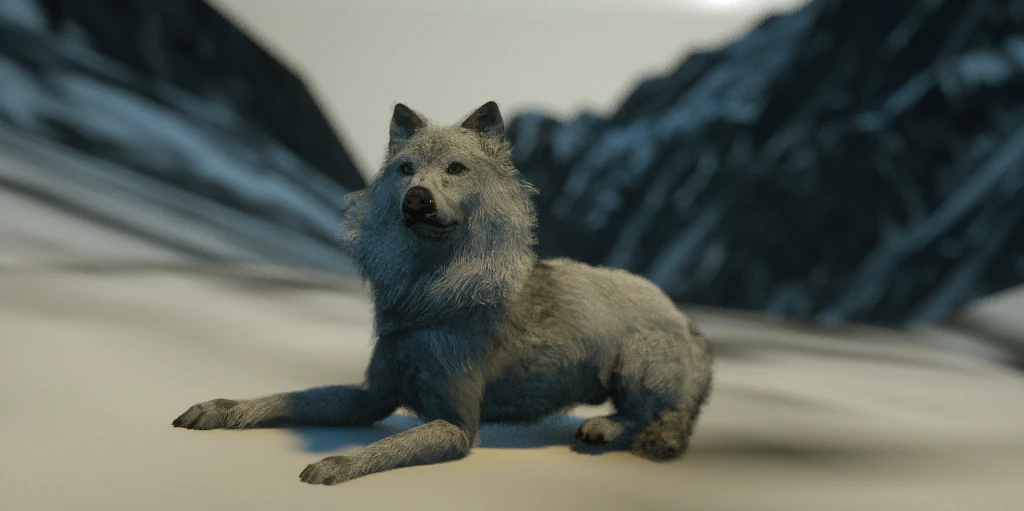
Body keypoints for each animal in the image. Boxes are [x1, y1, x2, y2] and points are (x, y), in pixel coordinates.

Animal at [172, 101, 713, 485]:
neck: (428, 298)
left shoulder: (458, 429)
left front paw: (339, 464)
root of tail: (689, 324)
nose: (417, 199)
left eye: (454, 169)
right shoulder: (372, 396)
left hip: (635, 359)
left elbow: (385, 449)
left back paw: (603, 428)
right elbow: (287, 398)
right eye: (406, 169)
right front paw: (223, 408)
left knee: (654, 416)